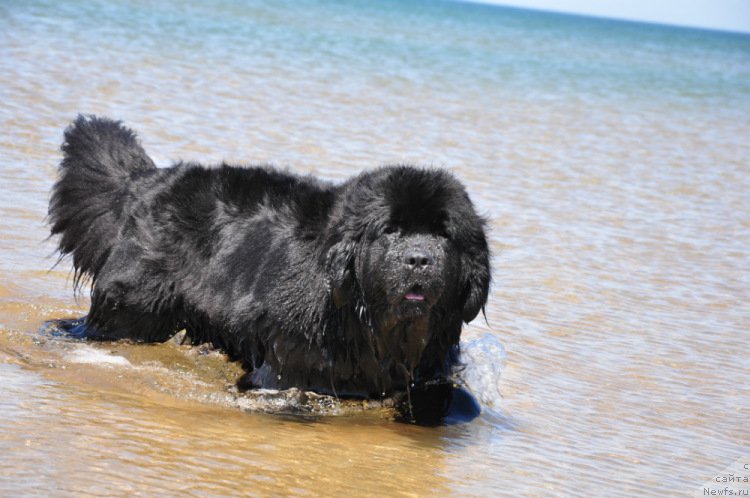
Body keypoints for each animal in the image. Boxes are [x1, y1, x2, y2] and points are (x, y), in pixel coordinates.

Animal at [48, 116, 494, 424]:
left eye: (444, 236)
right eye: (391, 231)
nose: (418, 258)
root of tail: (146, 180)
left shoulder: (431, 363)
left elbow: (444, 392)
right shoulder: (285, 363)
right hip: (130, 305)